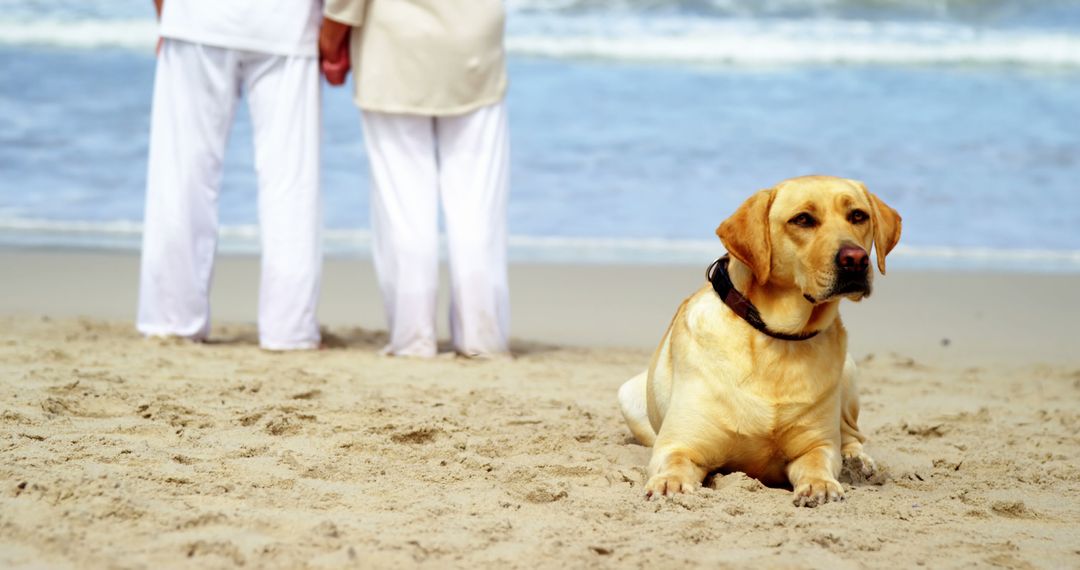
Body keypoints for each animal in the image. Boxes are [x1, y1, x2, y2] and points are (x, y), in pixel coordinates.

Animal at [617, 175, 902, 505]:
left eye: (858, 216)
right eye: (802, 220)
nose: (855, 259)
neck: (778, 338)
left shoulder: (815, 445)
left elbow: (818, 461)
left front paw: (820, 484)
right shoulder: (679, 443)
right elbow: (674, 461)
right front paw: (669, 483)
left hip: (849, 373)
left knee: (852, 434)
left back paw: (857, 461)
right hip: (628, 395)